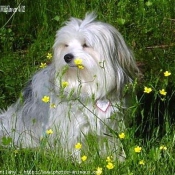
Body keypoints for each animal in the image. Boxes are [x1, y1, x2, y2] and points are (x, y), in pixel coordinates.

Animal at [0, 12, 138, 161]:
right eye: (66, 45)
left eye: (86, 45)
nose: (67, 57)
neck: (86, 87)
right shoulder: (73, 125)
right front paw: (80, 161)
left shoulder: (110, 123)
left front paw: (117, 159)